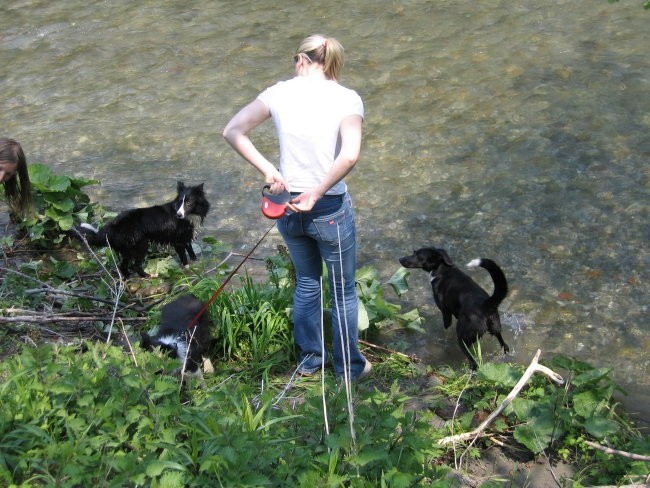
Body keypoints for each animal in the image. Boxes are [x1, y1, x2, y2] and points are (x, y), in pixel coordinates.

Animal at [75, 181, 209, 276]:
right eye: (180, 202)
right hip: (141, 245)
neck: (190, 216)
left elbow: (191, 252)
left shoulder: (186, 236)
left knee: (123, 266)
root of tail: (111, 226)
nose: (178, 215)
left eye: (188, 203)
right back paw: (146, 276)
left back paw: (127, 278)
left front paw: (196, 263)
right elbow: (184, 258)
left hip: (128, 249)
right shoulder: (178, 241)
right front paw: (189, 271)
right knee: (136, 266)